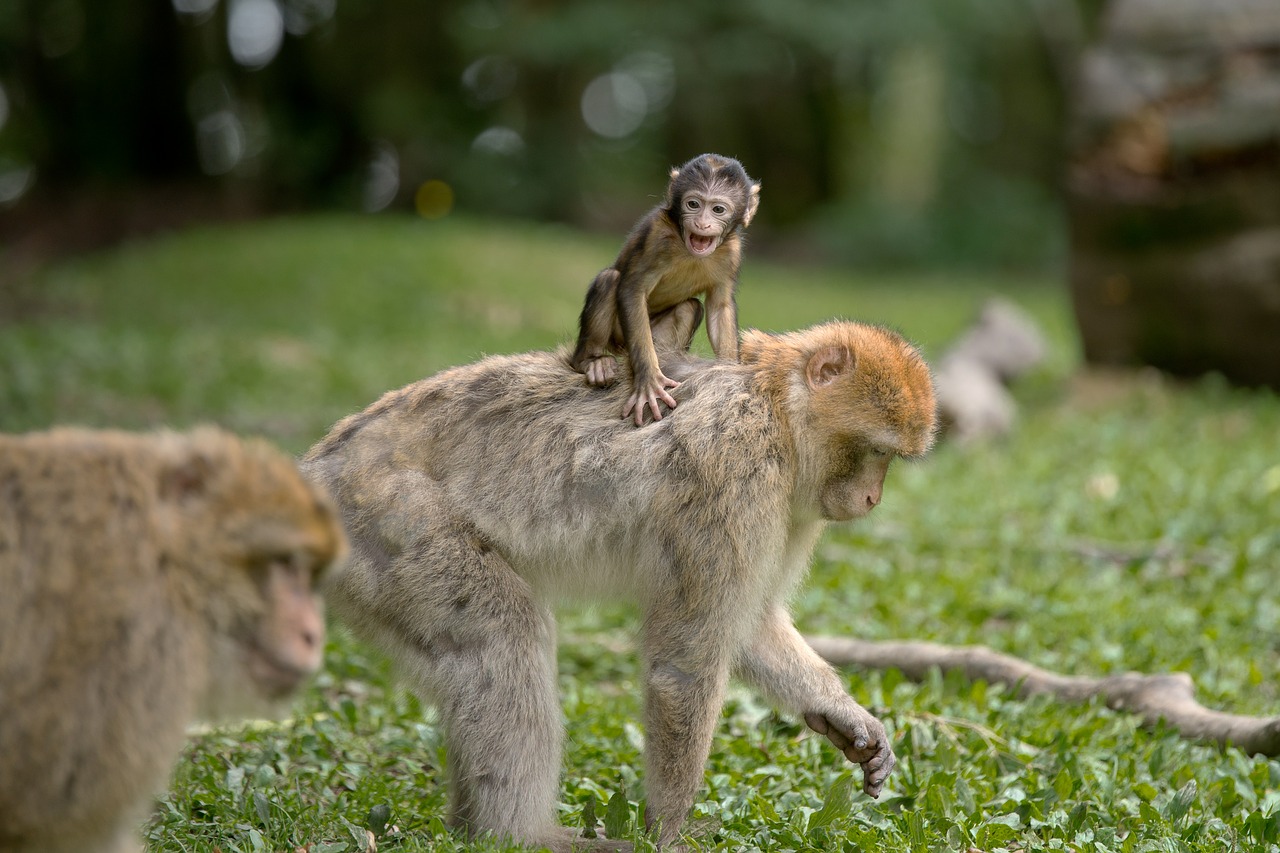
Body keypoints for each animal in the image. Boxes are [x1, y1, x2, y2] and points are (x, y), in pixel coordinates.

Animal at [304, 317, 936, 845]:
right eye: (875, 451)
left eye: (890, 458)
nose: (872, 499)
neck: (775, 404)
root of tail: (317, 467)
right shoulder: (736, 468)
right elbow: (684, 665)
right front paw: (669, 833)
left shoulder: (794, 506)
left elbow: (750, 626)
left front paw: (844, 717)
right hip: (390, 524)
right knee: (503, 635)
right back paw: (520, 835)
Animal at [570, 153, 757, 425]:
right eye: (693, 204)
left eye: (718, 209)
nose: (702, 223)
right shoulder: (657, 236)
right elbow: (632, 290)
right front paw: (648, 382)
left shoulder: (732, 252)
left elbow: (719, 306)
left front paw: (727, 375)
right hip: (619, 337)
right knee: (610, 280)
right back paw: (590, 362)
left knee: (689, 307)